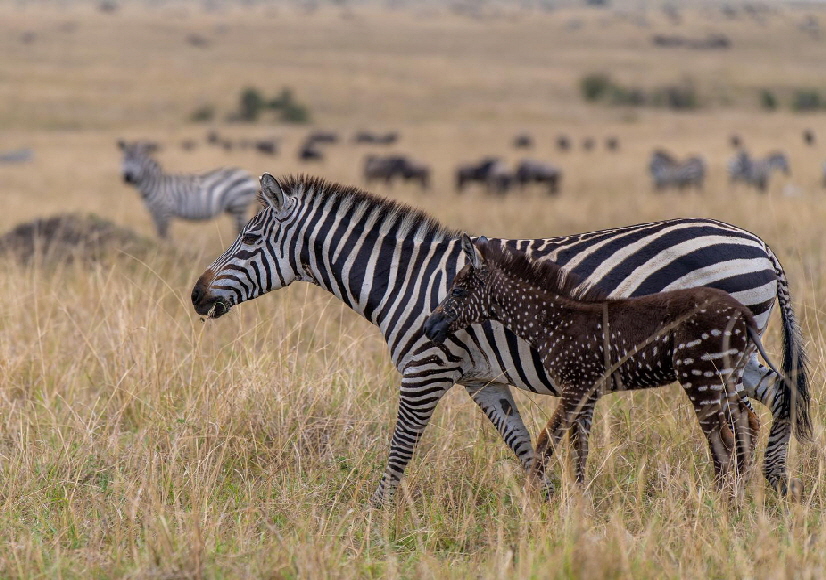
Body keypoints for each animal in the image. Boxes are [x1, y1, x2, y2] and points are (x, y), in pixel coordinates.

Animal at [118, 140, 258, 239]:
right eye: (124, 160)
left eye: (137, 161)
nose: (127, 178)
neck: (154, 184)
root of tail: (249, 176)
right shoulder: (153, 212)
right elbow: (159, 233)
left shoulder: (164, 210)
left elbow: (165, 235)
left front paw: (166, 251)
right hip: (234, 208)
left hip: (239, 205)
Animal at [191, 174, 811, 505]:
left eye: (248, 238)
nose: (196, 296)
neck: (405, 281)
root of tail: (762, 245)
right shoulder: (481, 380)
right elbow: (523, 445)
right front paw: (551, 508)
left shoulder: (427, 368)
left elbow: (400, 448)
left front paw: (375, 516)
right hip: (736, 353)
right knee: (781, 396)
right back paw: (775, 491)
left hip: (714, 354)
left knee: (762, 405)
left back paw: (760, 491)